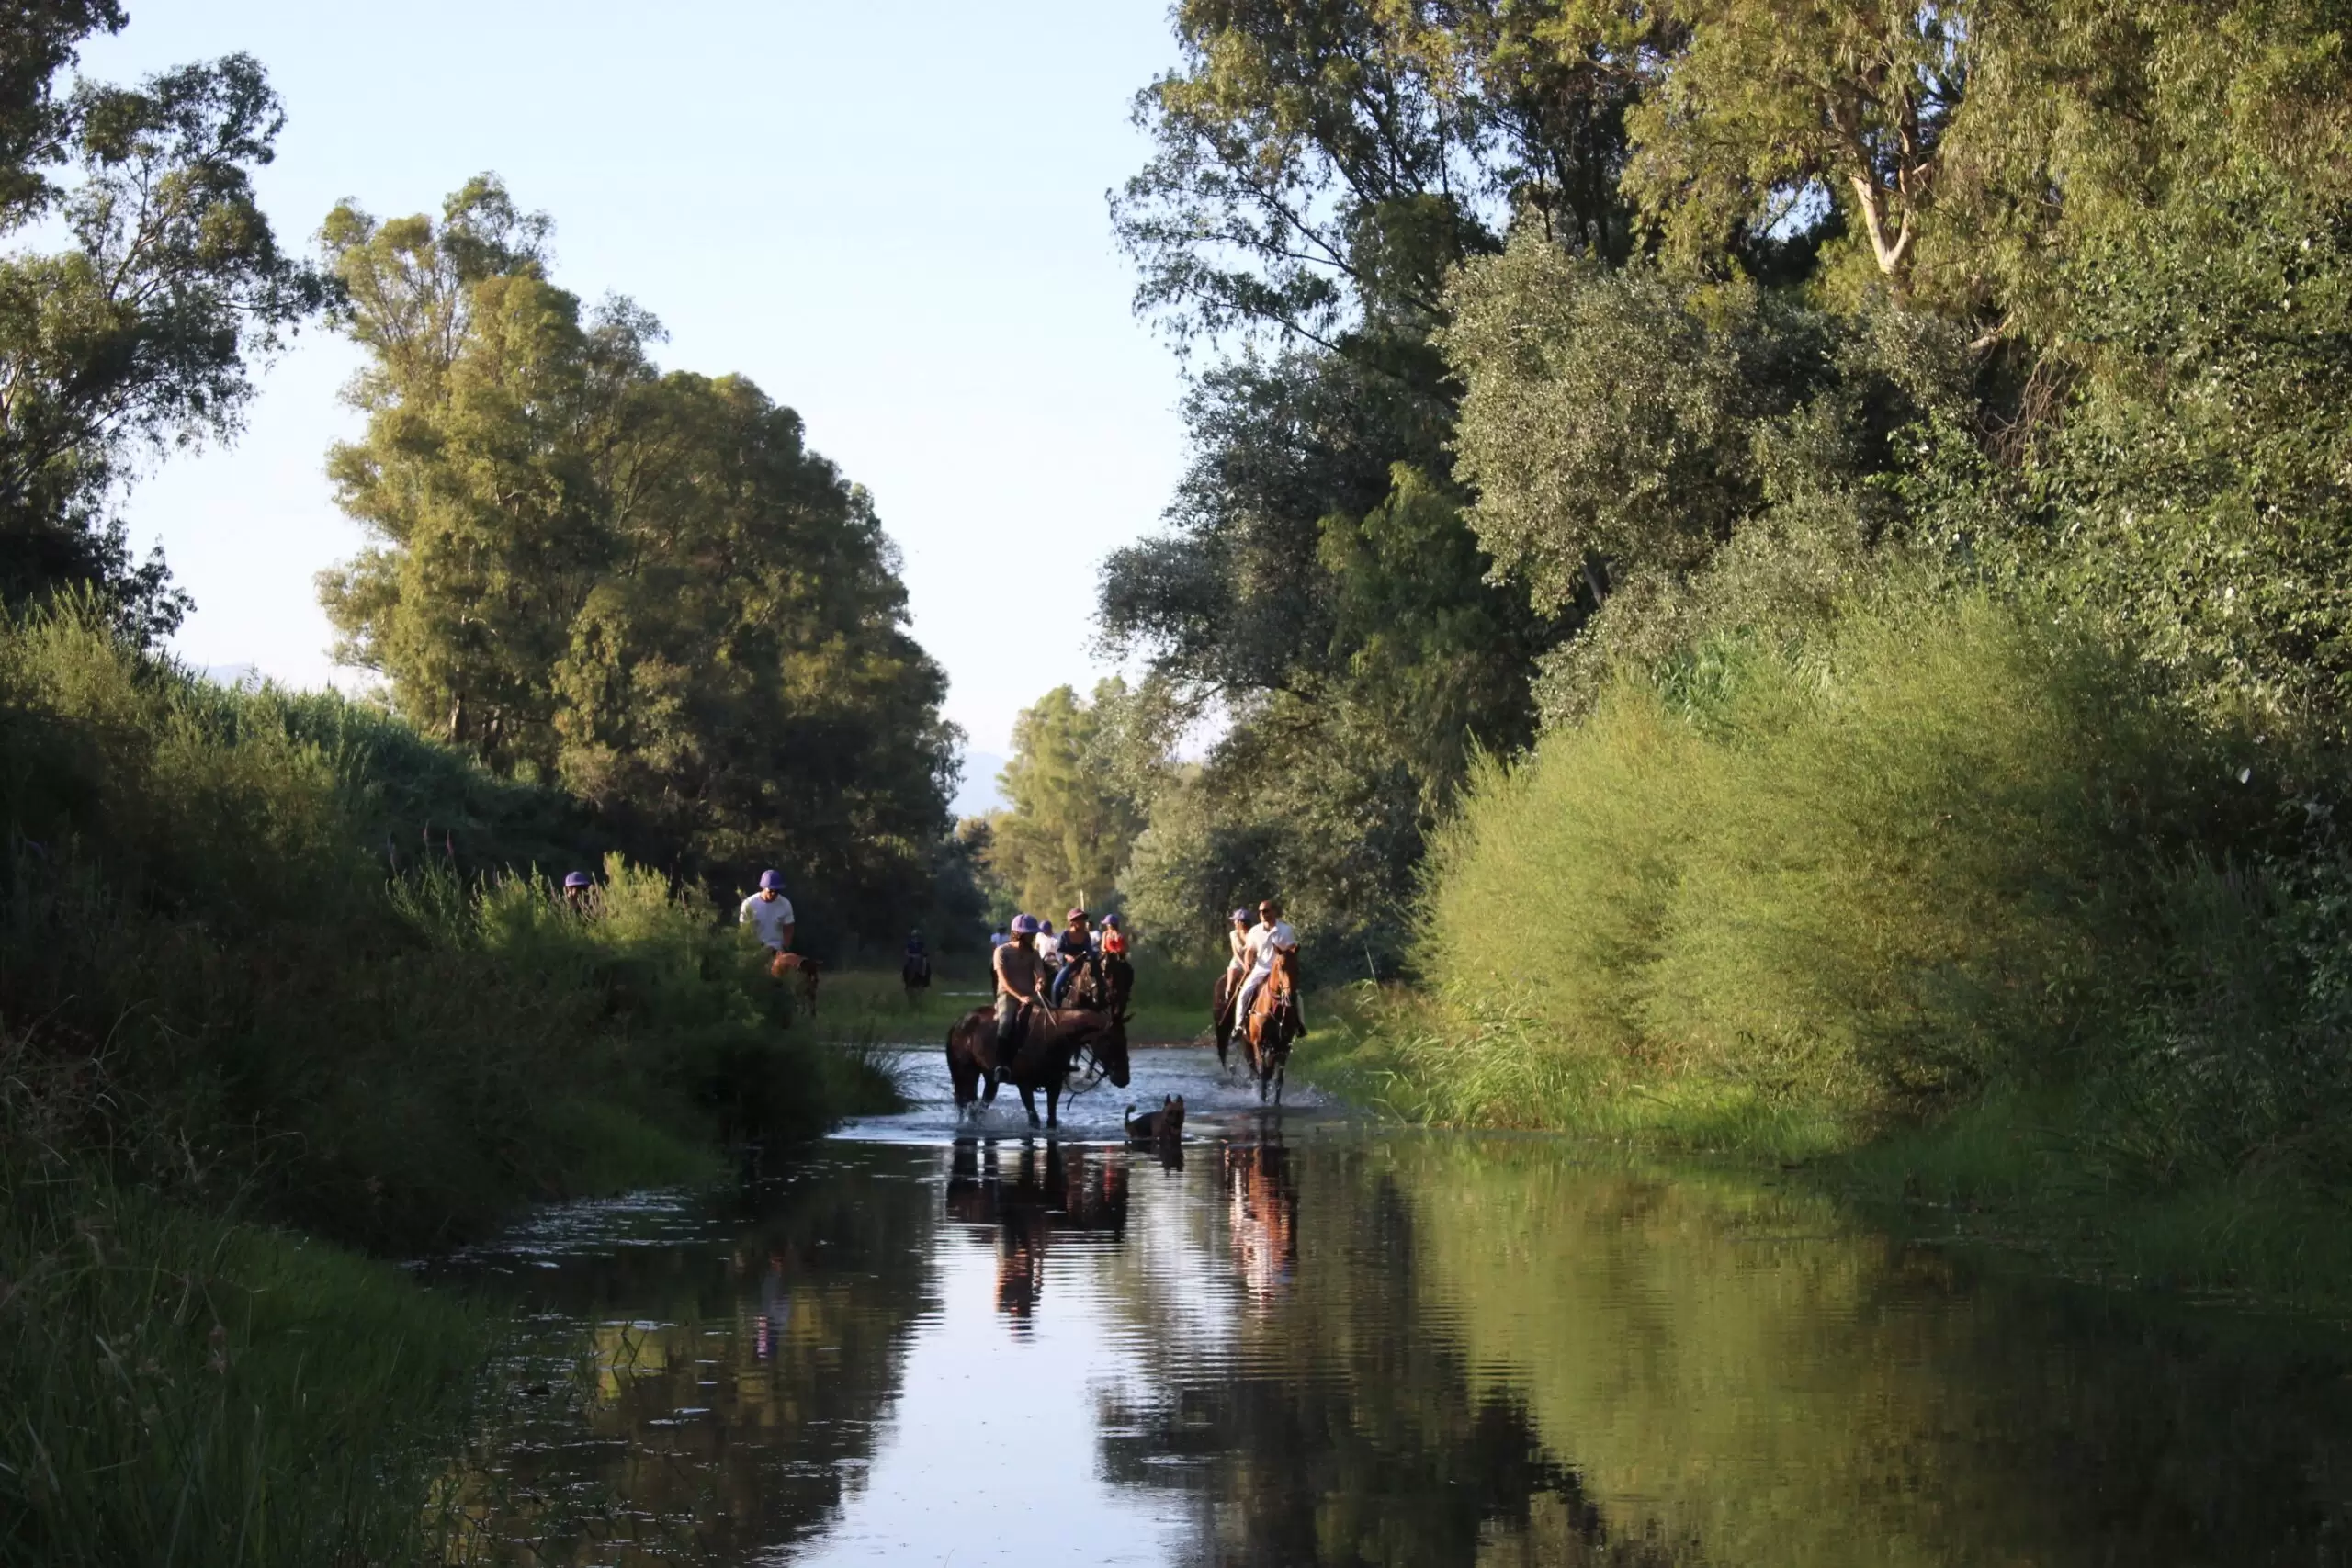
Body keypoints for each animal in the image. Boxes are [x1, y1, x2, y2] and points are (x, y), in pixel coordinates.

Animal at [945, 991, 1128, 1128]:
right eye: (1110, 1041)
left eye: (1124, 1039)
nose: (1124, 1078)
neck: (1055, 1036)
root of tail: (959, 1022)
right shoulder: (1024, 1085)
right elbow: (1034, 1120)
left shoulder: (1054, 1085)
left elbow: (1051, 1120)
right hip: (967, 1073)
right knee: (967, 1105)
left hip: (990, 1079)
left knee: (979, 1106)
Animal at [1232, 944, 1307, 1104]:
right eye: (1281, 967)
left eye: (1297, 968)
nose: (1290, 997)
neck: (1275, 1009)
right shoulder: (1259, 1044)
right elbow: (1264, 1075)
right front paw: (1262, 1099)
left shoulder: (1284, 1047)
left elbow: (1278, 1078)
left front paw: (1276, 1103)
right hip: (1247, 1043)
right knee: (1255, 1069)